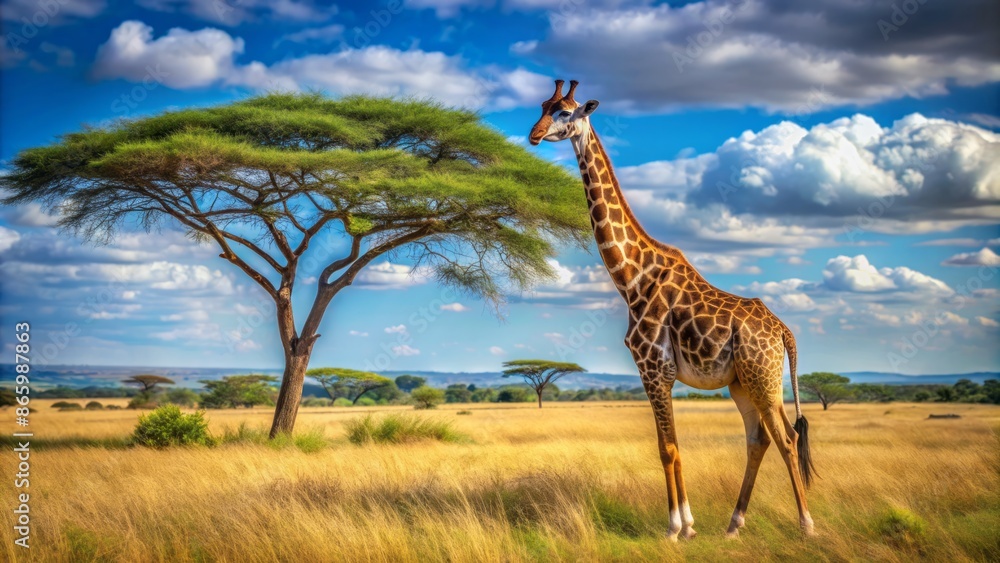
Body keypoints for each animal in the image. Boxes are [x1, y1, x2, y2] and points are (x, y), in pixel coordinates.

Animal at [529, 80, 816, 540]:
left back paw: (806, 525)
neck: (630, 278)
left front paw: (675, 528)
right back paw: (734, 523)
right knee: (758, 440)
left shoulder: (653, 368)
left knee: (787, 439)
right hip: (741, 384)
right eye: (541, 107)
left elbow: (667, 447)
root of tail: (783, 332)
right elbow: (674, 446)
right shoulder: (658, 372)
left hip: (763, 378)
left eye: (566, 113)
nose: (534, 135)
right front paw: (690, 525)